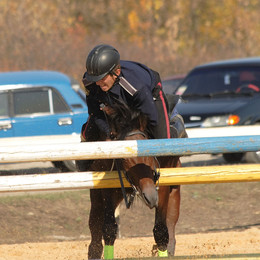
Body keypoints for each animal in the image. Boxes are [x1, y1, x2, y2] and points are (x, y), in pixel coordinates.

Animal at [80, 101, 181, 258]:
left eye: (150, 153)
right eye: (123, 158)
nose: (150, 196)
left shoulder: (162, 187)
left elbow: (161, 231)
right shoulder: (107, 190)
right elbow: (109, 230)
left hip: (174, 188)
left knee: (171, 221)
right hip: (98, 197)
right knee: (95, 233)